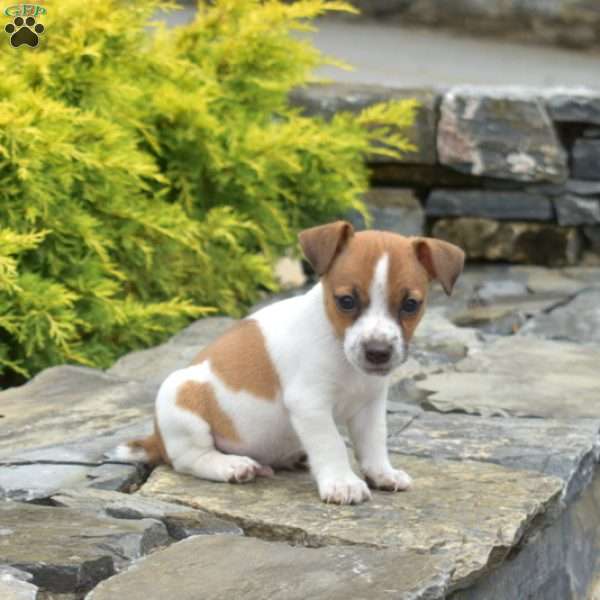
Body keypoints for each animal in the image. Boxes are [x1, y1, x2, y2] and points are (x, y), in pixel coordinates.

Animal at [117, 223, 464, 504]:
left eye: (411, 305)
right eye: (346, 301)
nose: (377, 352)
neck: (338, 347)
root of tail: (157, 440)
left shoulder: (371, 405)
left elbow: (374, 442)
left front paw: (382, 473)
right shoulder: (310, 404)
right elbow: (332, 443)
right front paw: (343, 483)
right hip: (180, 396)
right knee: (190, 459)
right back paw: (232, 465)